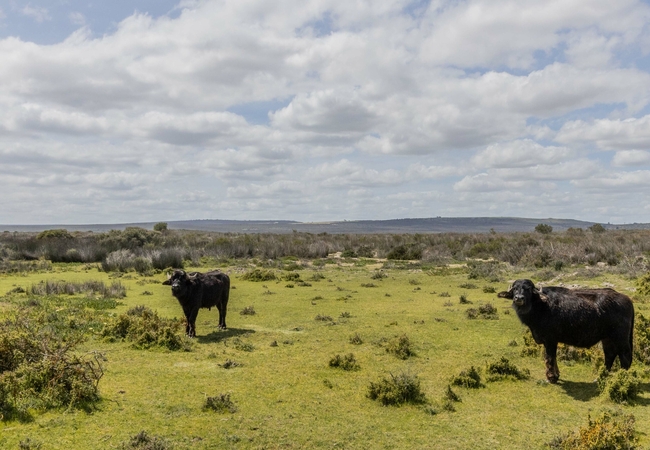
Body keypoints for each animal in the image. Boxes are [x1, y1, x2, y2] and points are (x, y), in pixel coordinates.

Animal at [496, 280, 632, 382]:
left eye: (528, 289)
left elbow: (549, 358)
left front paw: (551, 377)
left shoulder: (550, 340)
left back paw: (622, 378)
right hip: (607, 339)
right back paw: (600, 378)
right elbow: (554, 357)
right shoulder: (552, 341)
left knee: (625, 358)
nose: (518, 298)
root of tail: (626, 299)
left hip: (621, 339)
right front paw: (556, 375)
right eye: (515, 288)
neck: (541, 305)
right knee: (610, 355)